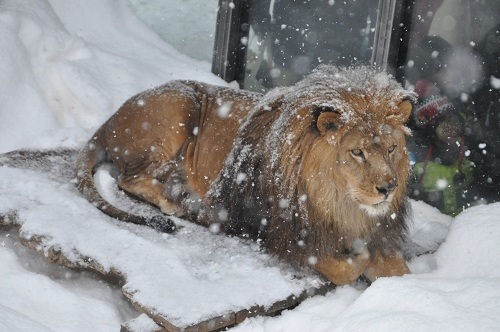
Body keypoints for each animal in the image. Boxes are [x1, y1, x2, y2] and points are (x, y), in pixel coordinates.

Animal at [77, 65, 414, 286]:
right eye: (357, 152)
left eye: (392, 148)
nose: (388, 187)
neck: (343, 206)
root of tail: (111, 119)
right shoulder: (285, 237)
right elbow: (341, 268)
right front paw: (359, 255)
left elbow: (403, 276)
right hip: (180, 105)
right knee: (128, 178)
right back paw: (178, 201)